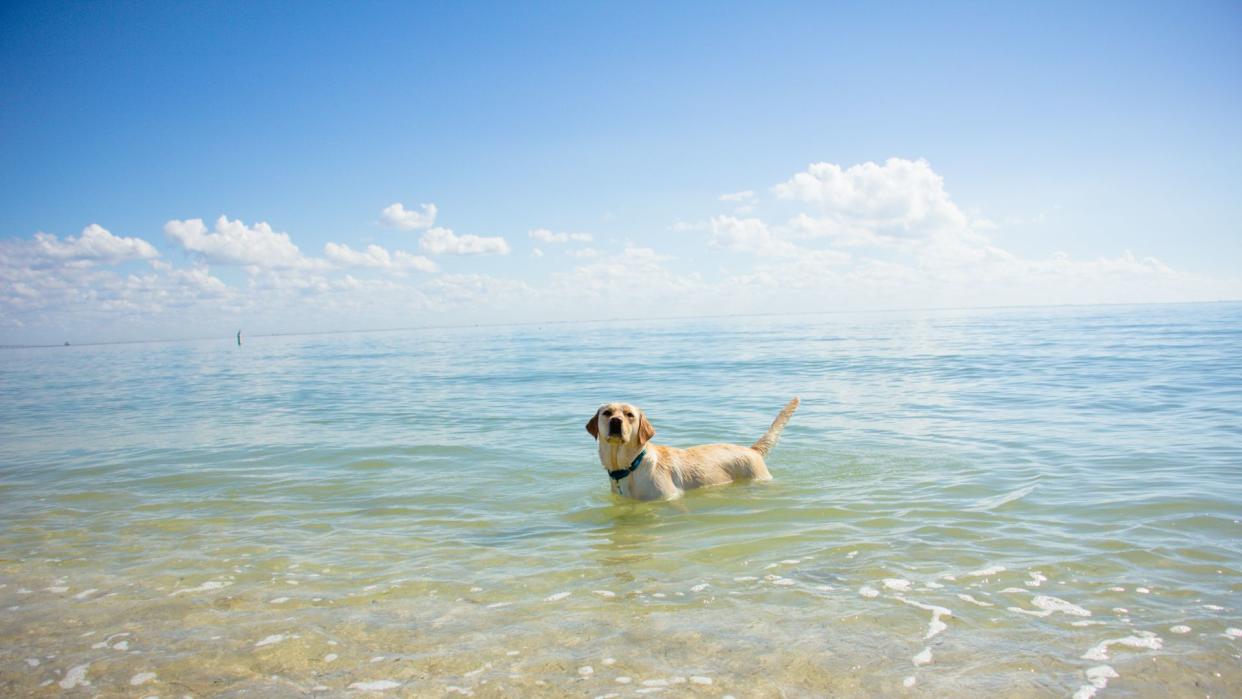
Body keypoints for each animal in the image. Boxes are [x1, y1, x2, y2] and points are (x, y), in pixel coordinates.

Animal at [586, 397, 799, 501]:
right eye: (607, 413)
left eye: (629, 414)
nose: (616, 421)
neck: (630, 466)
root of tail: (752, 450)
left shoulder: (670, 498)